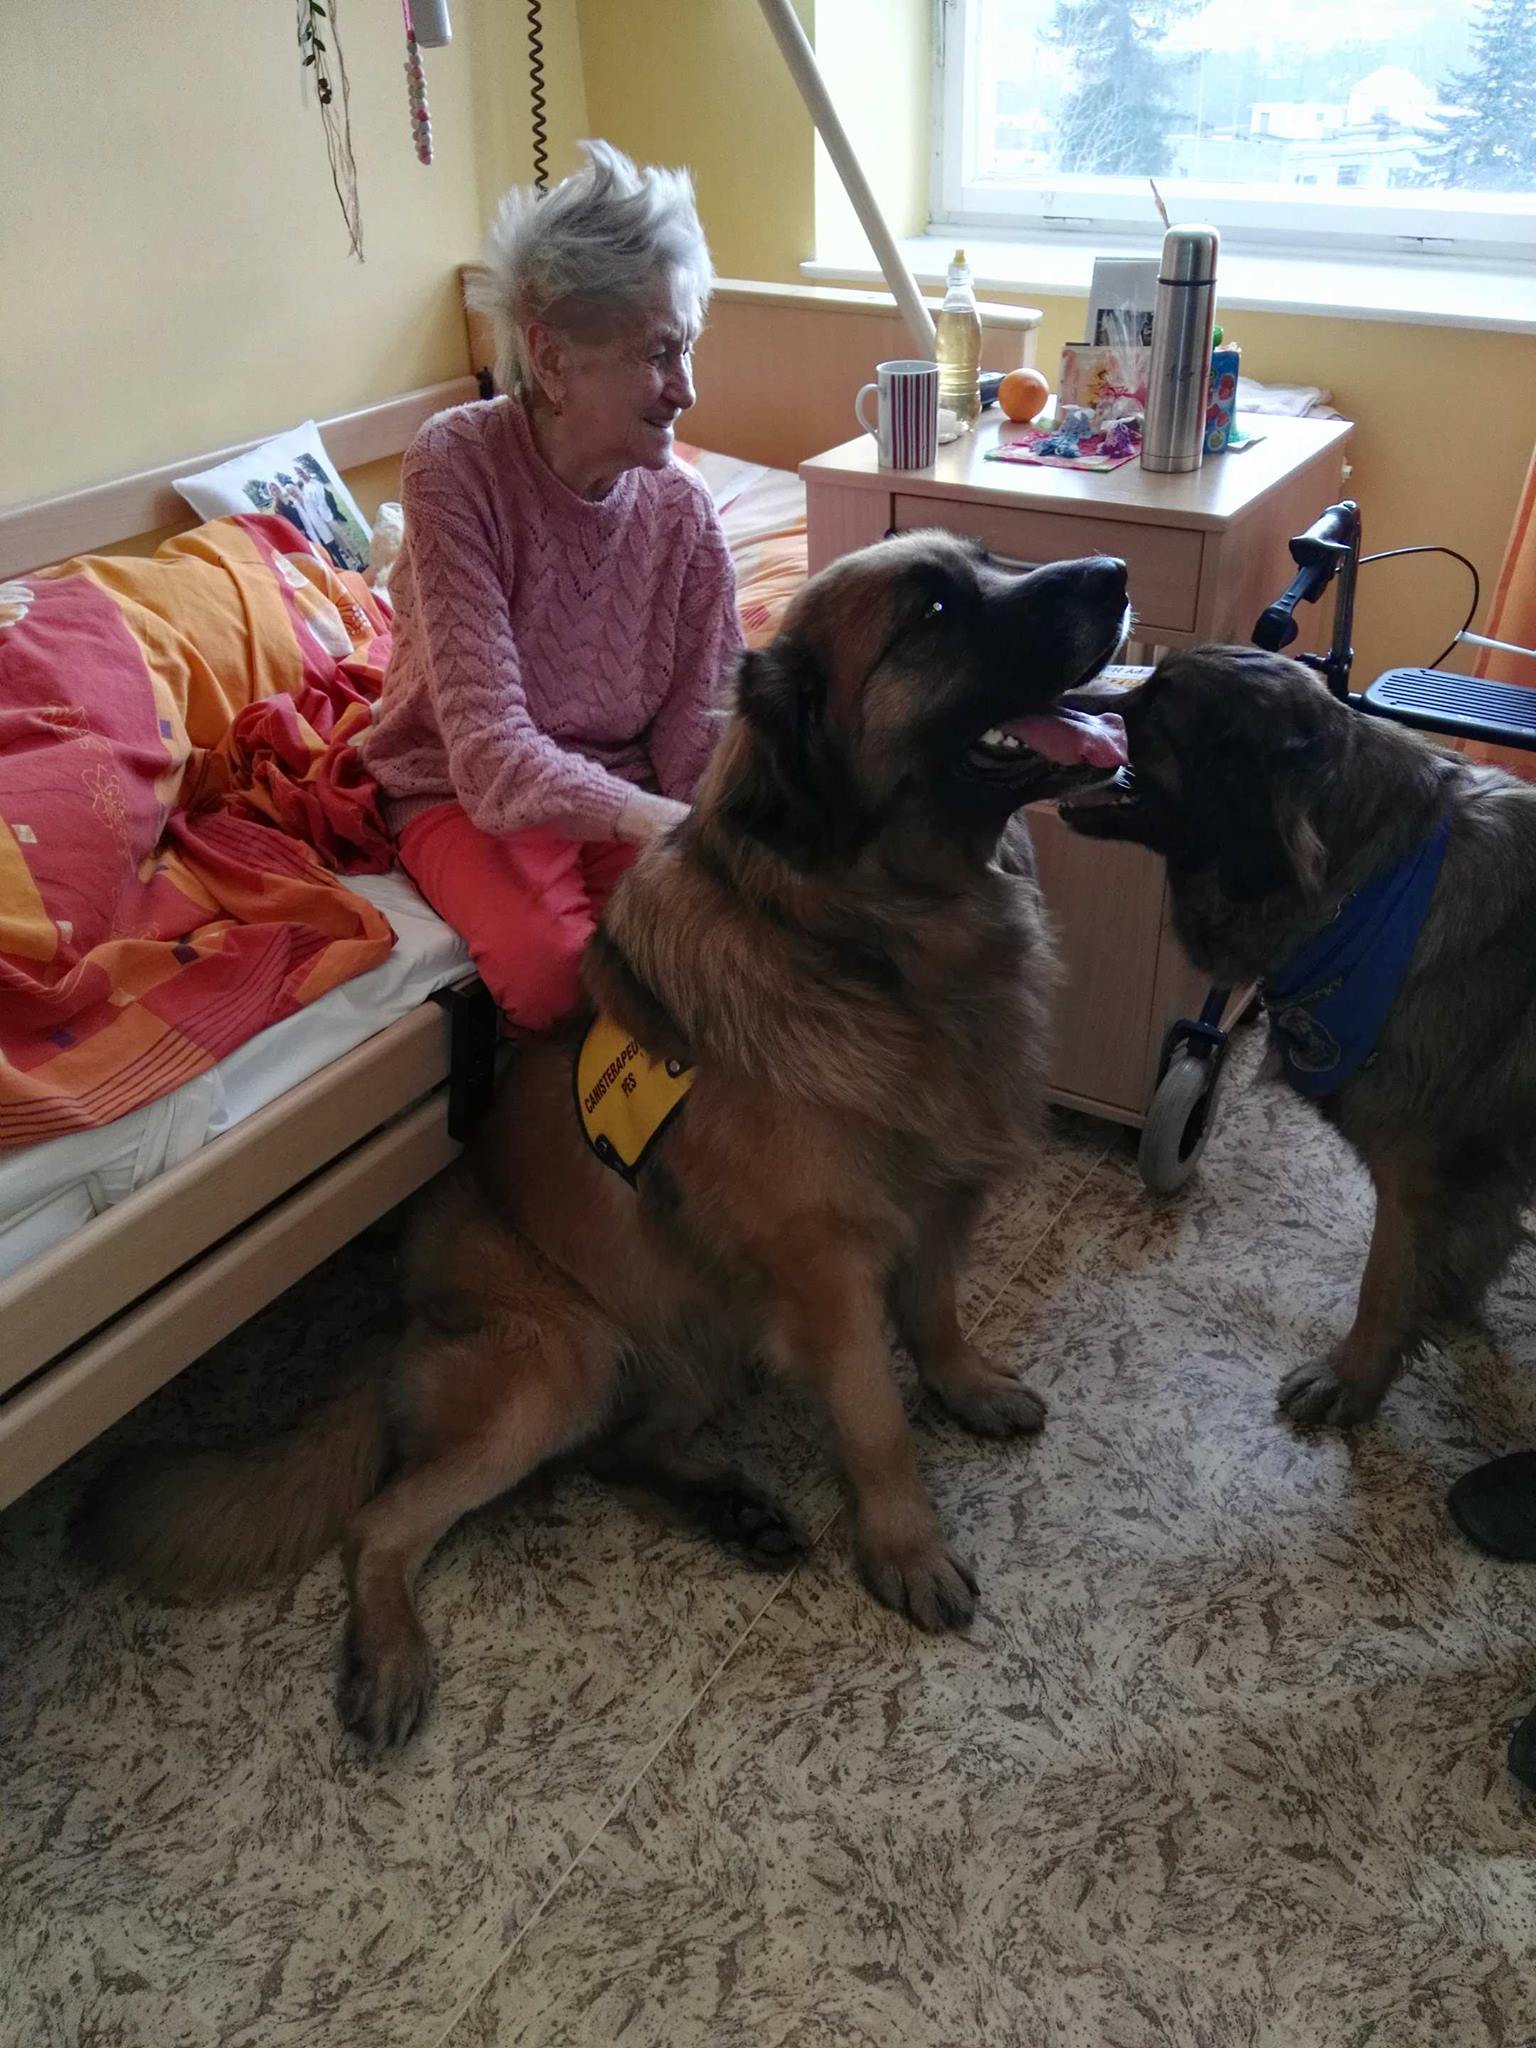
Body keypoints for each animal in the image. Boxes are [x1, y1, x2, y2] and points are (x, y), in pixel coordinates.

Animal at [83, 532, 1131, 1746]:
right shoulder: (827, 1269)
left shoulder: (940, 1200)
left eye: (988, 562)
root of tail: (398, 1320)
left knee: (620, 1452)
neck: (872, 941)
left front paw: (967, 1388)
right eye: (933, 611)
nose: (1115, 575)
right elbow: (876, 1413)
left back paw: (729, 1505)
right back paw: (390, 1653)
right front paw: (907, 1545)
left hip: (695, 1328)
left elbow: (939, 1315)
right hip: (562, 1357)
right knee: (385, 1521)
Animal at [1063, 643, 1536, 1428]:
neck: (1369, 884)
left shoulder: (1421, 1165)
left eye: (1158, 708)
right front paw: (1445, 1307)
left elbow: (1385, 1283)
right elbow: (1463, 1250)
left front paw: (1353, 1379)